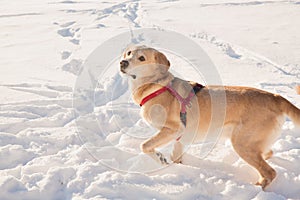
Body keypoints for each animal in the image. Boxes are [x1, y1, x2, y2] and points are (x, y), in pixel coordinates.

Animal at [118, 45, 298, 189]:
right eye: (129, 53)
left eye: (142, 58)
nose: (123, 62)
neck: (156, 85)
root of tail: (275, 96)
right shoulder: (179, 138)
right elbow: (176, 156)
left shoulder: (173, 129)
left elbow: (144, 145)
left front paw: (160, 158)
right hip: (250, 143)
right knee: (269, 154)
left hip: (243, 144)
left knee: (270, 172)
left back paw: (257, 188)